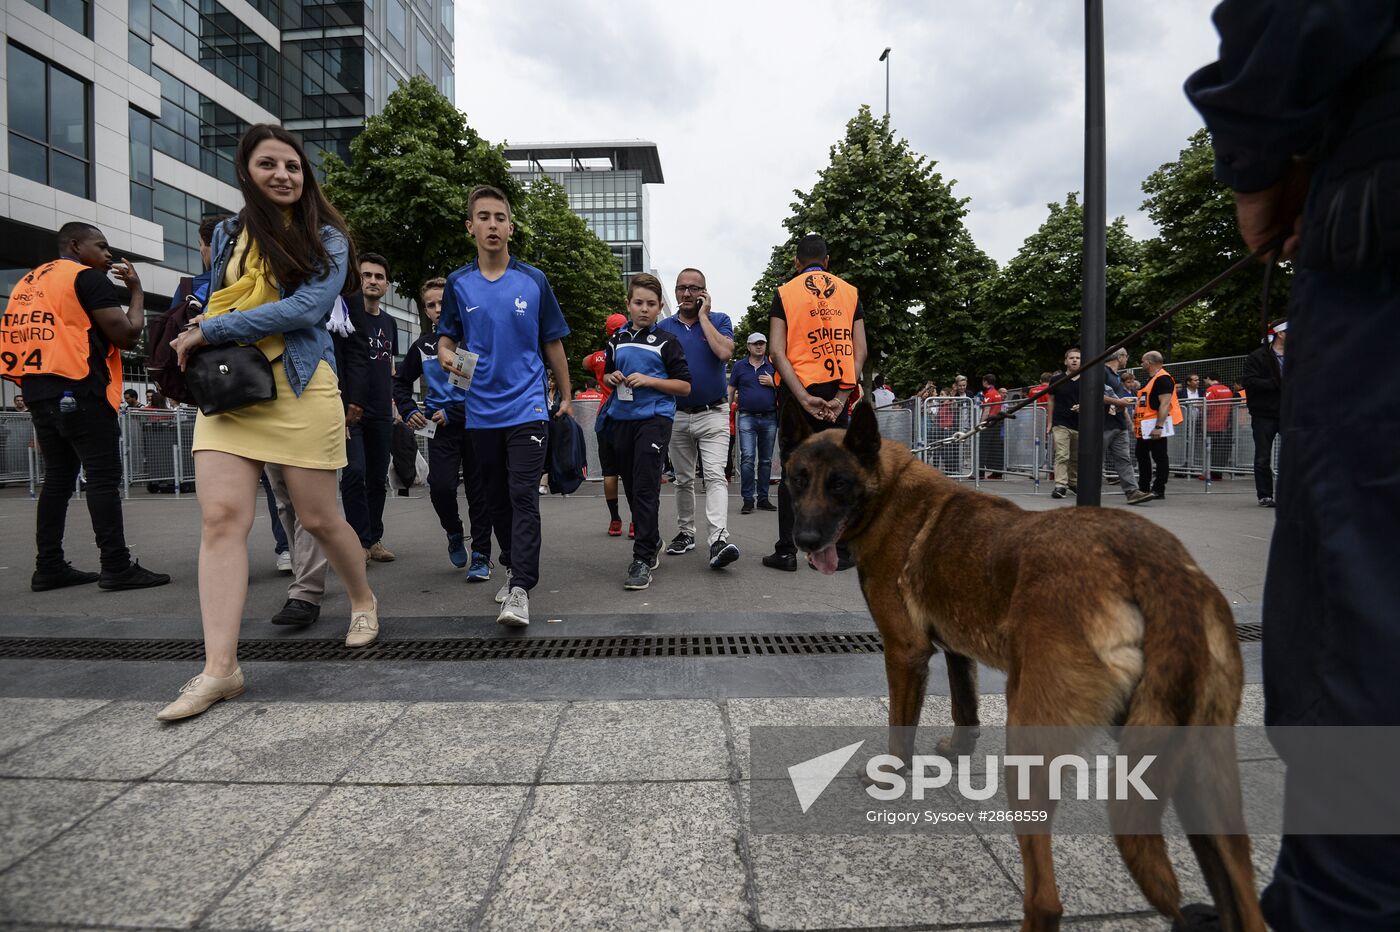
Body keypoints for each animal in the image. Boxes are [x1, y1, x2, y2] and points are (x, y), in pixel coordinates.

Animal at [784, 400, 1265, 929]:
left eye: (839, 485)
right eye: (796, 480)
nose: (804, 541)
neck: (886, 492)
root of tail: (1152, 567)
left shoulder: (905, 653)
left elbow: (900, 728)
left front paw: (892, 771)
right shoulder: (956, 648)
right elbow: (965, 707)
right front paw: (957, 749)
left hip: (1031, 742)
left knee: (1045, 898)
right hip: (1201, 779)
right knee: (1241, 895)